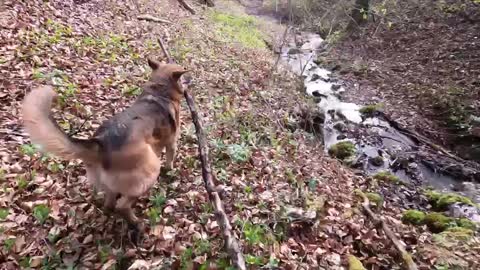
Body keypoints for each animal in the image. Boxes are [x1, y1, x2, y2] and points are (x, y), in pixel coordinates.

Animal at [22, 58, 188, 235]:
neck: (160, 91)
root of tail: (101, 143)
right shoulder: (172, 143)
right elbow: (170, 160)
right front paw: (170, 172)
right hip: (151, 169)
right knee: (122, 206)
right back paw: (136, 224)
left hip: (108, 185)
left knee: (109, 205)